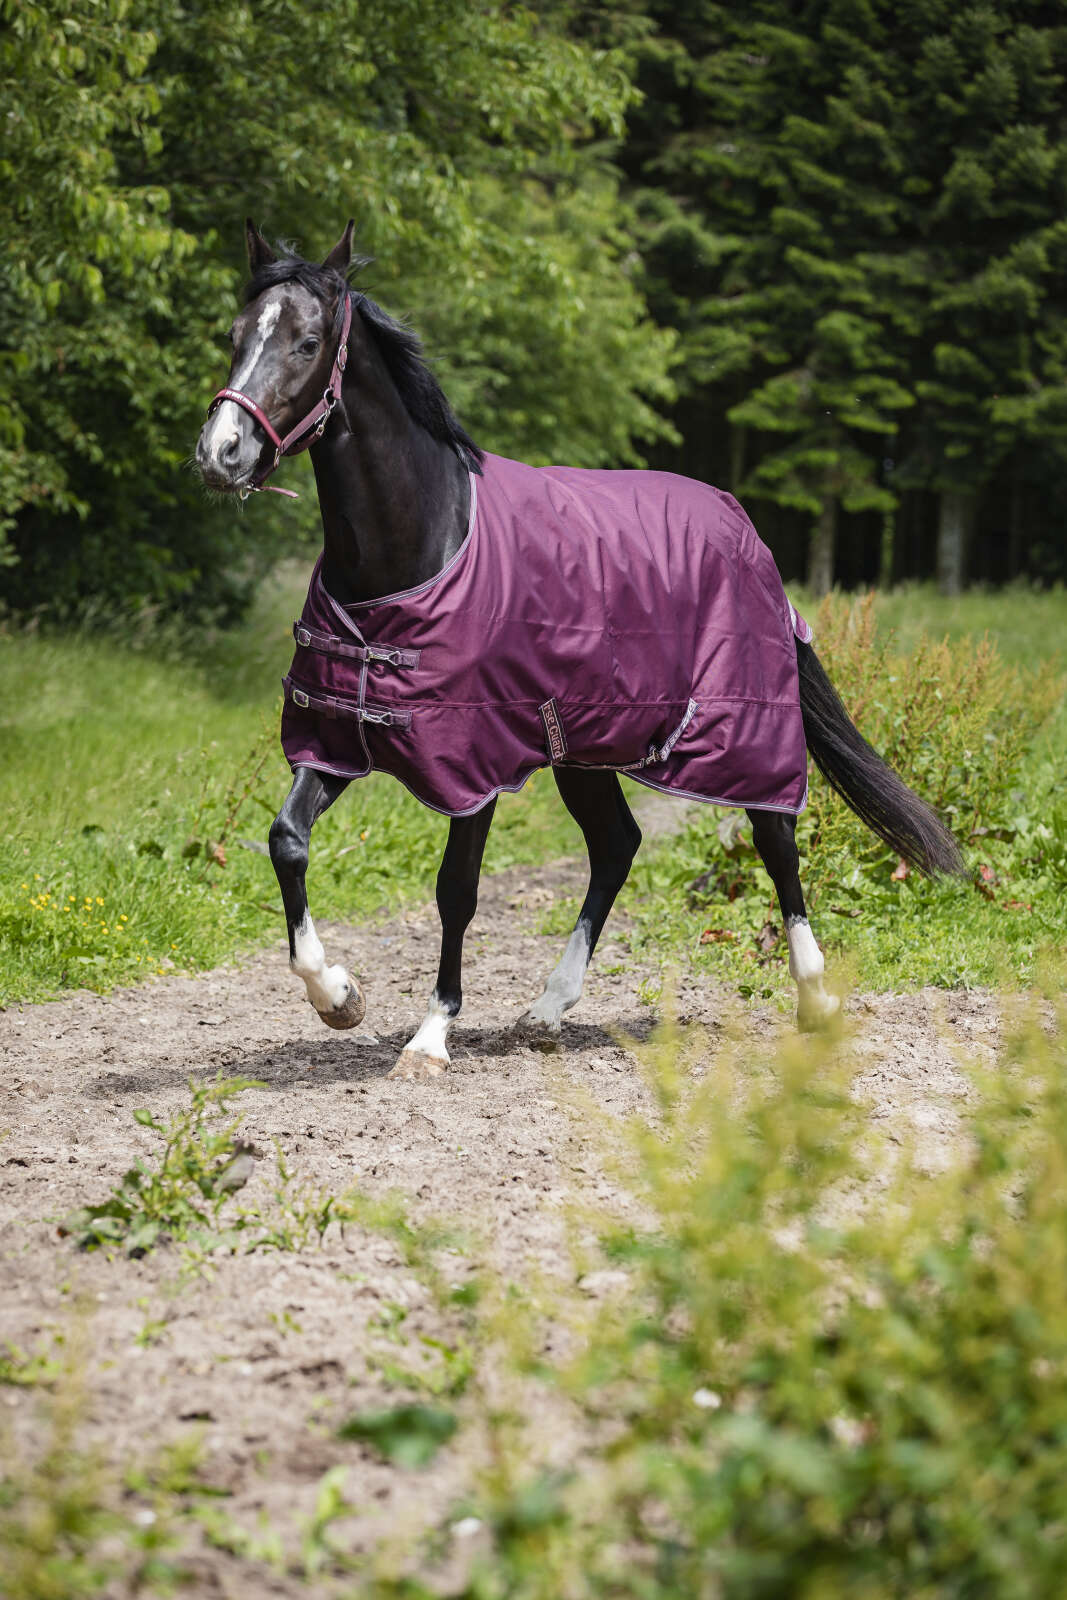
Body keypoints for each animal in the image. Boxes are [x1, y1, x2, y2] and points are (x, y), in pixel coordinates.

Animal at [196, 220, 964, 1081]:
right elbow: (286, 842)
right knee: (617, 845)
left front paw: (429, 1037)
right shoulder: (336, 738)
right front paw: (338, 996)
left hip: (744, 731)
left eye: (305, 343)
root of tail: (744, 527)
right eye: (235, 335)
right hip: (586, 746)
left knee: (775, 841)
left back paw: (813, 999)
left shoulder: (476, 766)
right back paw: (546, 1009)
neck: (418, 548)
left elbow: (455, 889)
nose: (221, 452)